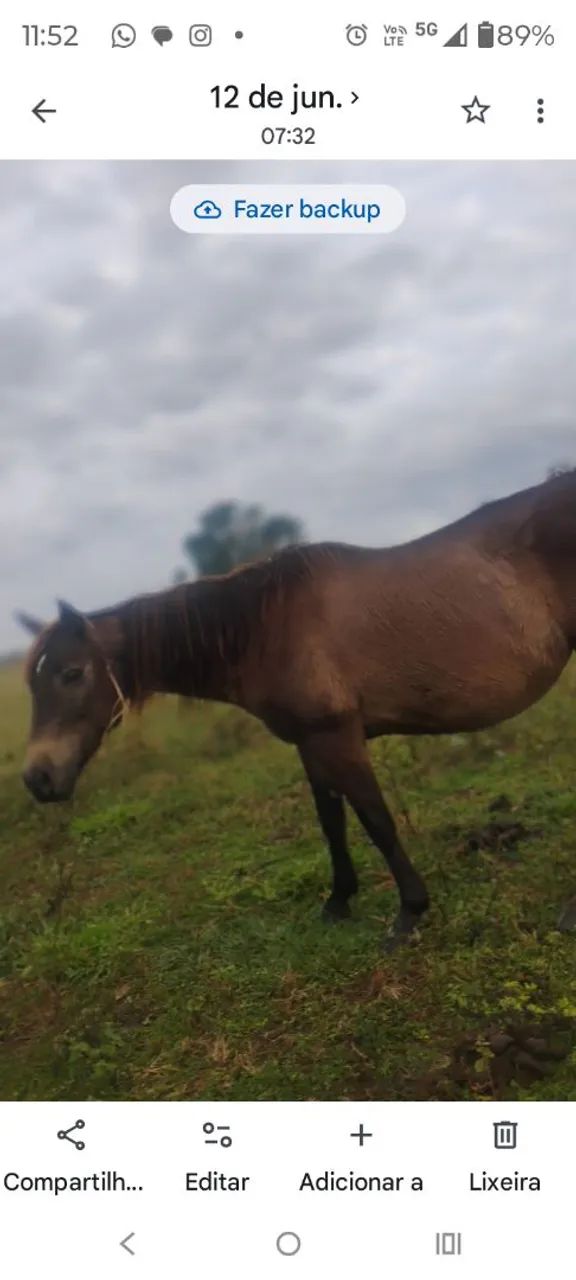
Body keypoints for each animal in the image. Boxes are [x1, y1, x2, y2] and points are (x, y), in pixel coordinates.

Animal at [17, 470, 576, 950]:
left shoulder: (338, 735)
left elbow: (376, 821)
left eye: (72, 673)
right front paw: (339, 901)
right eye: (33, 682)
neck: (267, 629)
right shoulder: (310, 743)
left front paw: (409, 915)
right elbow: (331, 820)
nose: (38, 778)